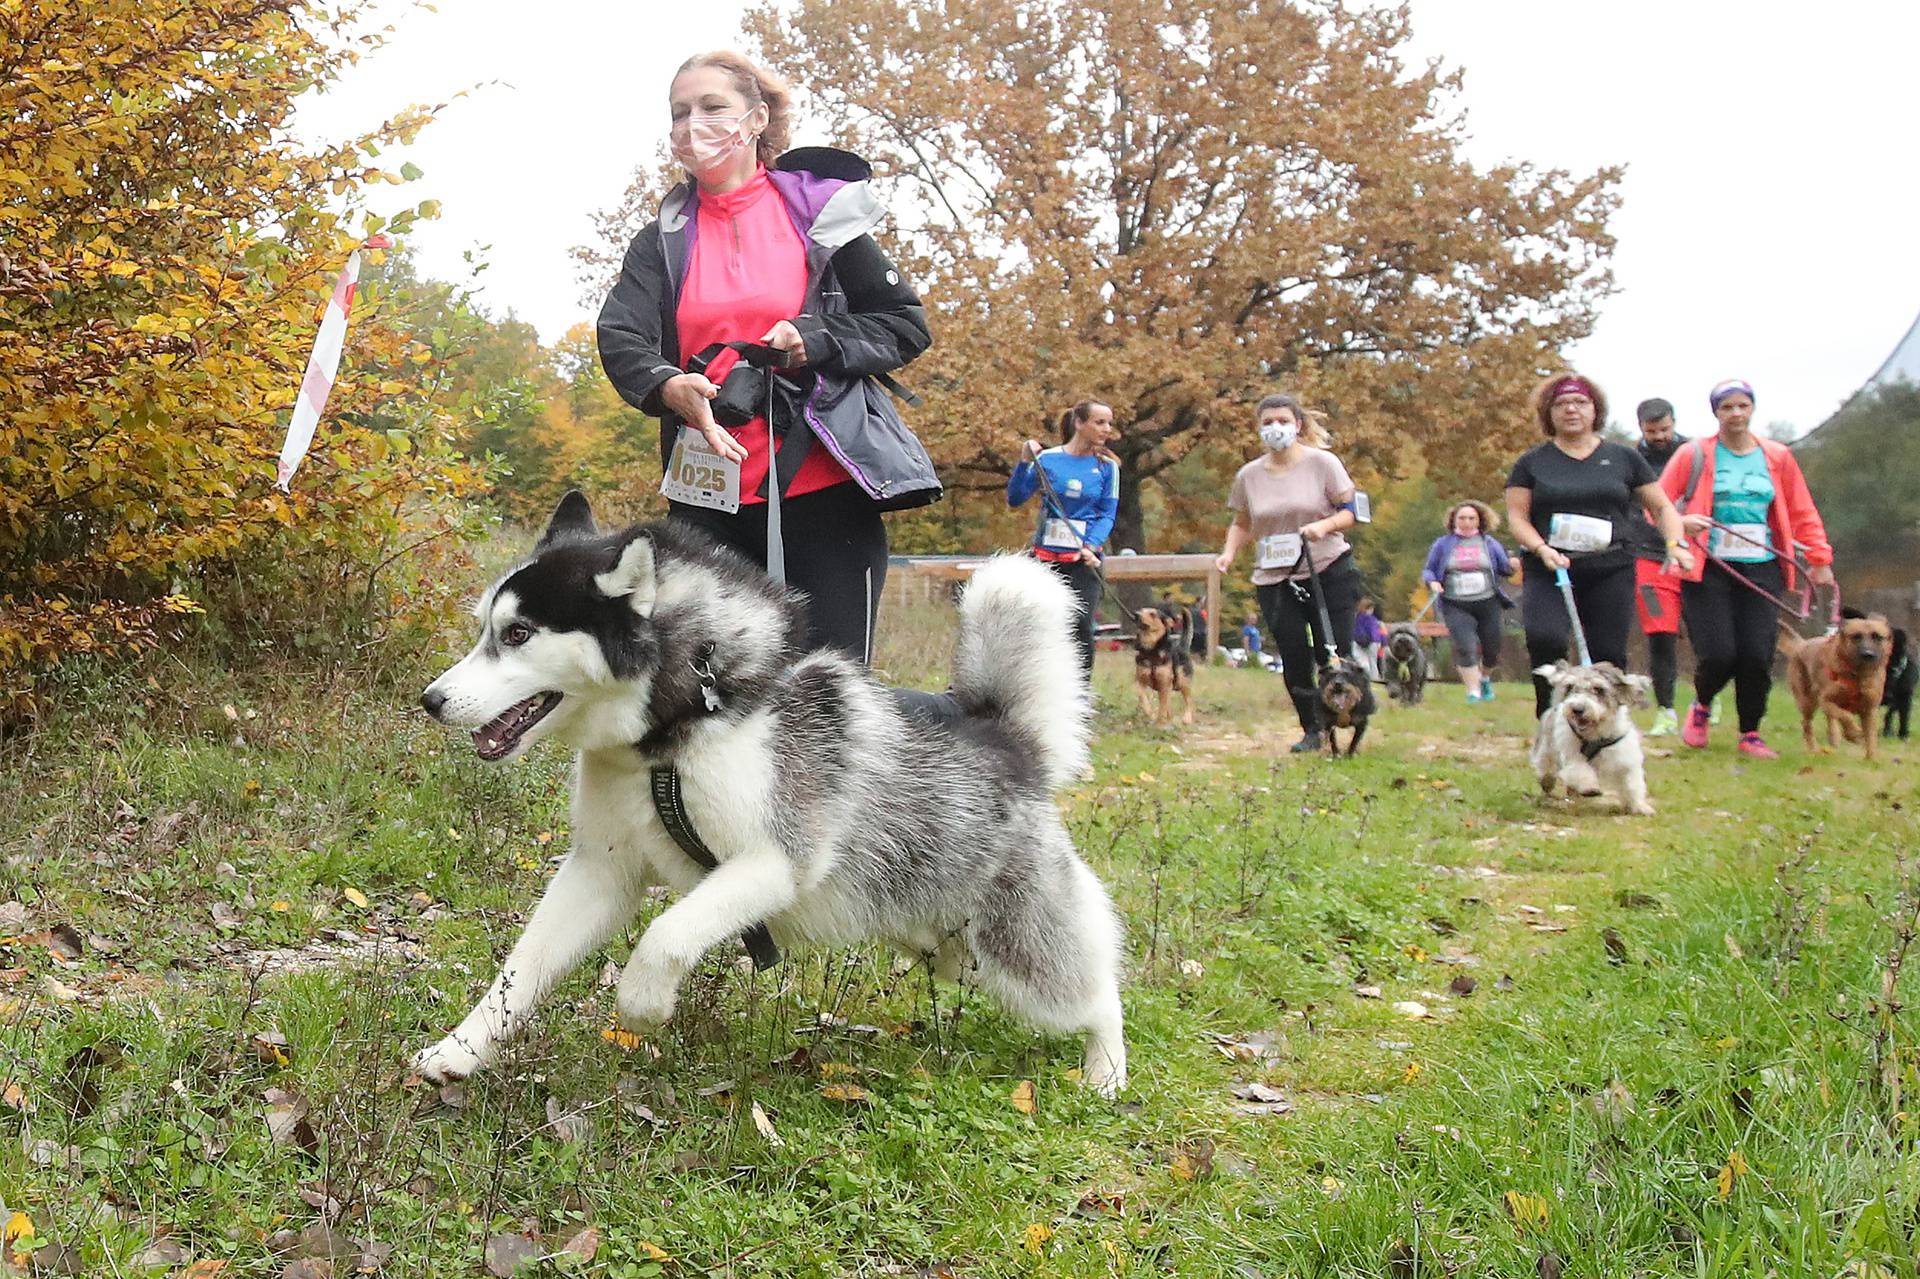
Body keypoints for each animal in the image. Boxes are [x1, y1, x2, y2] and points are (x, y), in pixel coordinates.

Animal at [1774, 610, 1896, 752]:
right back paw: (1814, 749)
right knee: (1806, 724)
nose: (1868, 654)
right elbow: (1845, 715)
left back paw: (1833, 738)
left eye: (1877, 637)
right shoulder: (1826, 701)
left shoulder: (1870, 711)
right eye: (1856, 636)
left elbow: (1871, 742)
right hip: (1807, 702)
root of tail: (1801, 644)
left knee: (1829, 721)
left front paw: (1869, 754)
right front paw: (1852, 733)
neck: (1858, 677)